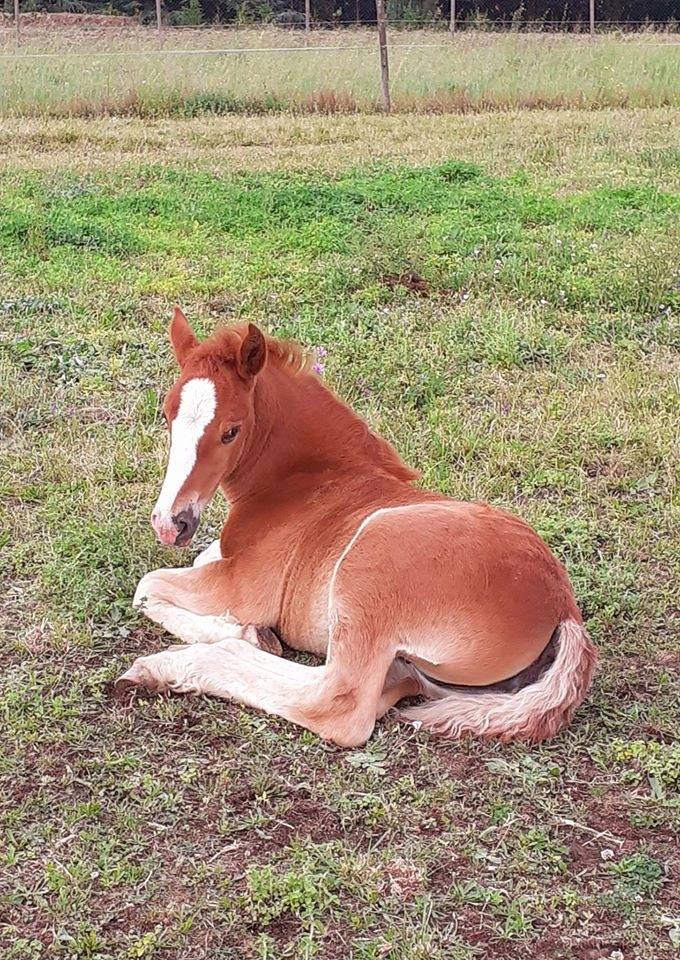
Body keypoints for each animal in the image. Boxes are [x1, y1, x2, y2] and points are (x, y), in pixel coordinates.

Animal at [117, 307, 598, 748]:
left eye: (231, 431)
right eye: (167, 415)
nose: (170, 524)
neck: (304, 482)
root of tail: (563, 611)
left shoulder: (243, 586)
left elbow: (148, 585)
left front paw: (247, 632)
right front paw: (244, 630)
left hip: (370, 567)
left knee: (338, 704)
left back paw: (162, 667)